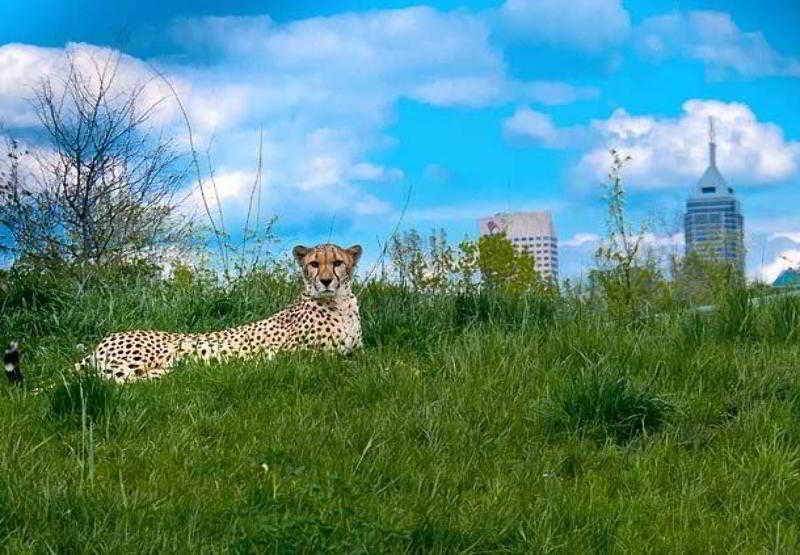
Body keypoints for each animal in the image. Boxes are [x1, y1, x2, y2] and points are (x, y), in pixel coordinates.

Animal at [67, 243, 364, 382]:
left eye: (338, 263)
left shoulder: (358, 350)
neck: (340, 303)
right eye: (314, 264)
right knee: (108, 379)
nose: (326, 280)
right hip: (148, 355)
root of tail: (105, 339)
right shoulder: (303, 357)